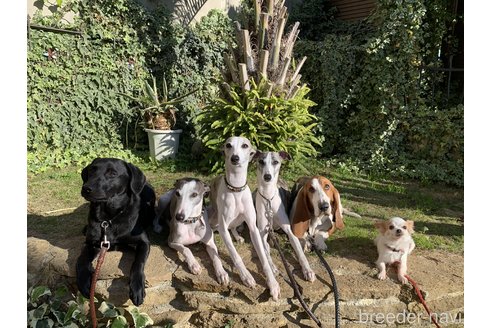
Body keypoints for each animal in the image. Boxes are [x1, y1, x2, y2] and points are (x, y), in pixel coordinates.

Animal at [76, 158, 156, 306]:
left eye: (112, 173)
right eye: (92, 170)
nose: (86, 188)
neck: (108, 218)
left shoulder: (143, 242)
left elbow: (138, 262)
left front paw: (137, 287)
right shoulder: (92, 243)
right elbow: (81, 260)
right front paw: (83, 282)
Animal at [209, 136, 280, 300]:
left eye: (245, 145)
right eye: (228, 145)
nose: (235, 158)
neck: (236, 188)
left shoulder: (254, 228)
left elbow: (264, 257)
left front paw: (273, 284)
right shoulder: (223, 228)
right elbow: (235, 255)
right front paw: (246, 276)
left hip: (240, 219)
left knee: (234, 226)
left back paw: (238, 235)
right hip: (214, 221)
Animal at [252, 151, 318, 282]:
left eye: (275, 162)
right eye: (261, 161)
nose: (267, 177)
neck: (268, 198)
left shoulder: (289, 230)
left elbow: (300, 252)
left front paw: (307, 270)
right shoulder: (262, 232)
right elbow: (265, 250)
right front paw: (272, 267)